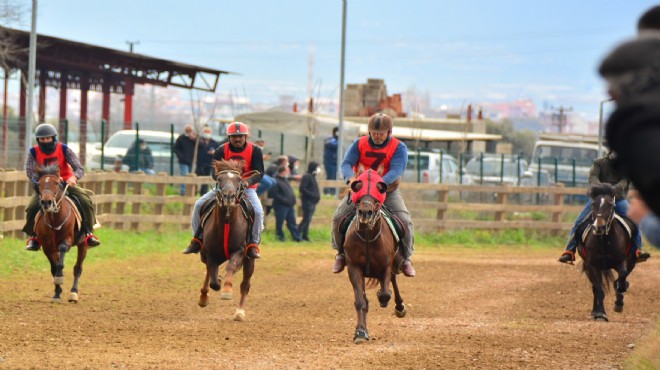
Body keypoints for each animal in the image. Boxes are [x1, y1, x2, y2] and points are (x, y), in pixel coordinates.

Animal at [33, 165, 87, 304]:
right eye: (39, 184)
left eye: (56, 183)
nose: (46, 202)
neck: (54, 220)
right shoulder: (47, 247)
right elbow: (54, 267)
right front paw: (57, 293)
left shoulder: (66, 241)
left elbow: (61, 260)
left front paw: (59, 277)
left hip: (83, 244)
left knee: (78, 268)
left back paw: (73, 293)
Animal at [197, 159, 260, 320]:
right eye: (220, 179)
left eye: (238, 180)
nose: (229, 197)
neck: (226, 221)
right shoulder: (210, 254)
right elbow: (213, 280)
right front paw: (215, 285)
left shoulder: (239, 250)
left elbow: (231, 267)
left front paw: (226, 290)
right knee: (209, 272)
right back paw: (204, 296)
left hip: (250, 259)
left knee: (245, 284)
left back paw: (239, 312)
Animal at [342, 170, 404, 344]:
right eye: (358, 196)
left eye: (376, 199)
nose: (365, 213)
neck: (368, 237)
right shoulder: (354, 268)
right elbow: (360, 302)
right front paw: (360, 332)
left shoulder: (385, 266)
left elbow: (385, 293)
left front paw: (382, 298)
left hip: (394, 264)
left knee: (393, 282)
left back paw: (399, 307)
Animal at [576, 184, 636, 322]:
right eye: (593, 204)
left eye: (611, 205)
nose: (599, 227)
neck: (605, 241)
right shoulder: (592, 265)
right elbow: (599, 290)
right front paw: (600, 314)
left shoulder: (623, 261)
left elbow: (622, 277)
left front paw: (619, 302)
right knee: (596, 287)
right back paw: (595, 312)